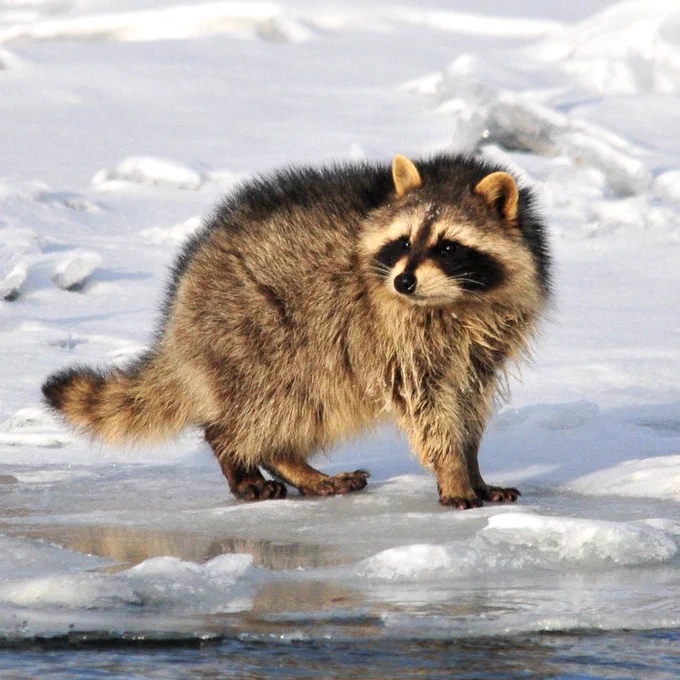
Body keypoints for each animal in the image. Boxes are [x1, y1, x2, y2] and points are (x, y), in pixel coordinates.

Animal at [42, 153, 550, 509]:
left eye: (447, 247)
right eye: (403, 241)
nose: (403, 281)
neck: (454, 302)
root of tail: (180, 302)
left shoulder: (483, 342)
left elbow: (467, 403)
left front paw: (474, 466)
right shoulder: (394, 332)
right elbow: (425, 405)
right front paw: (453, 471)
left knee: (307, 404)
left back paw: (290, 463)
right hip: (256, 330)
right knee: (273, 403)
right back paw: (241, 454)